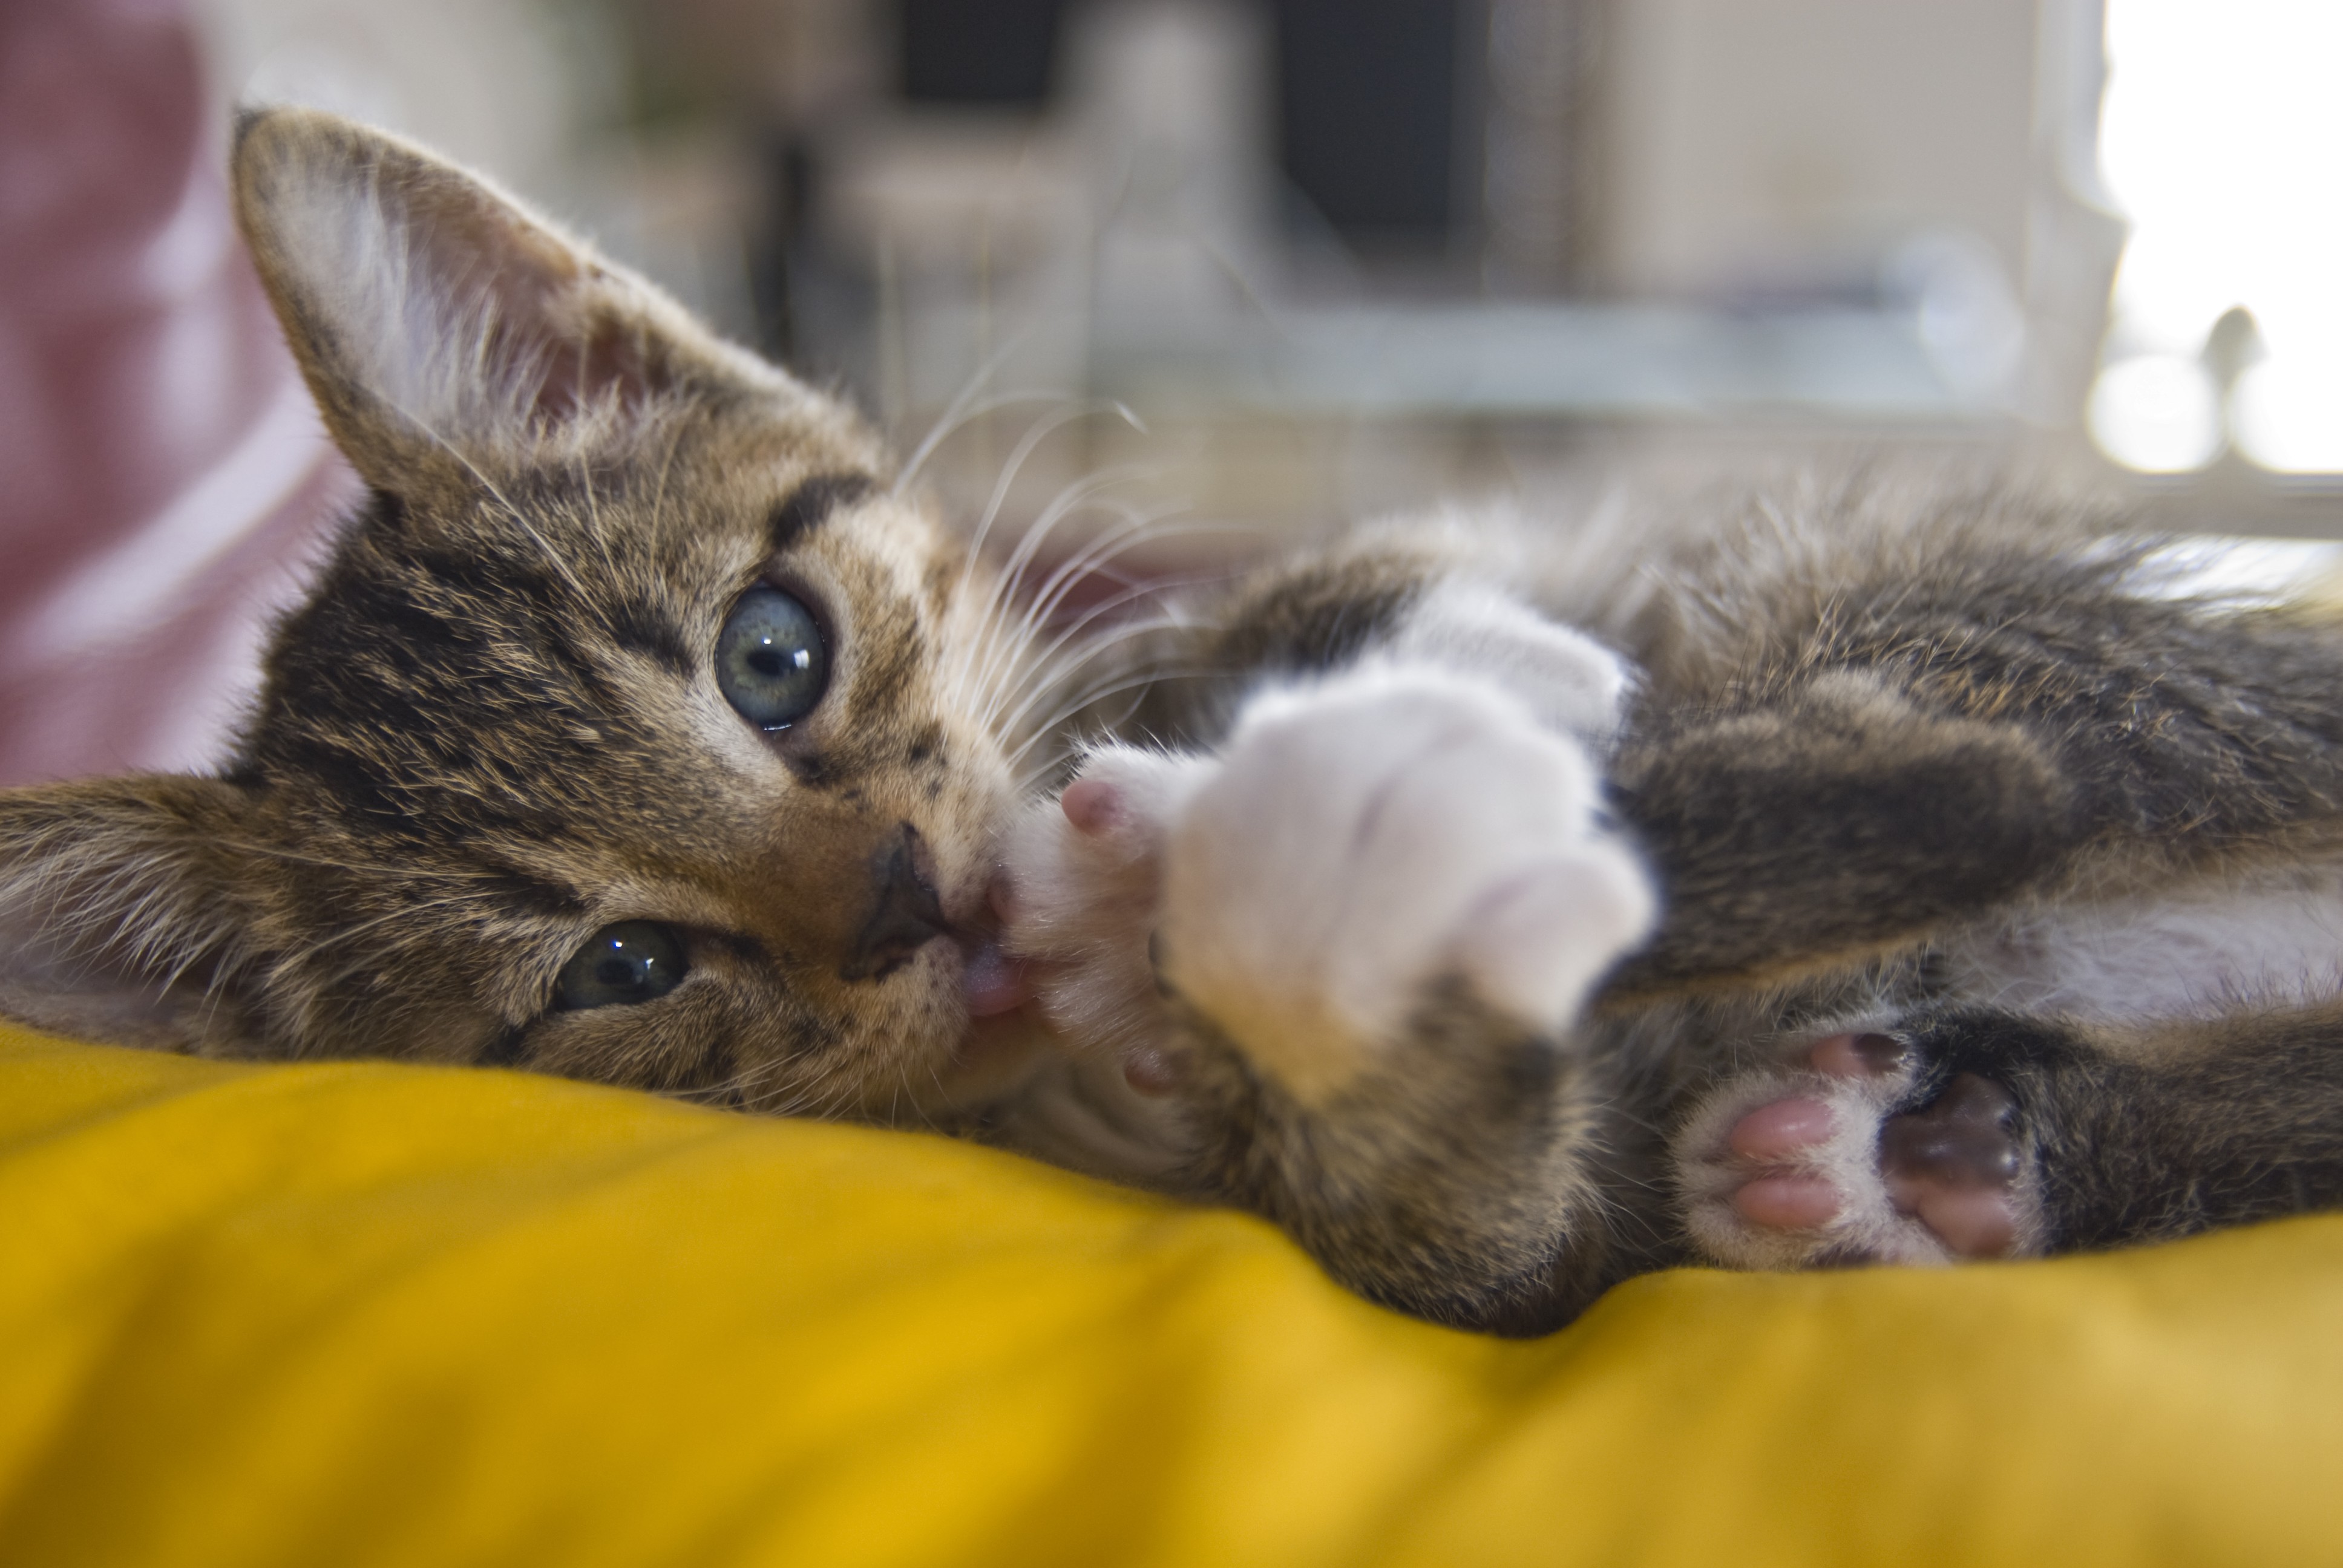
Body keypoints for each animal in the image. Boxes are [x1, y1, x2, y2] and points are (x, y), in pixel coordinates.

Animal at [4, 113, 2343, 1331]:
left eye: (772, 656)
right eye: (624, 971)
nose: (914, 898)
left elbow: (1336, 584)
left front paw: (1398, 663)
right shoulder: (1530, 1240)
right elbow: (1459, 1212)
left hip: (1849, 580)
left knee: (1979, 743)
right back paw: (1913, 1157)